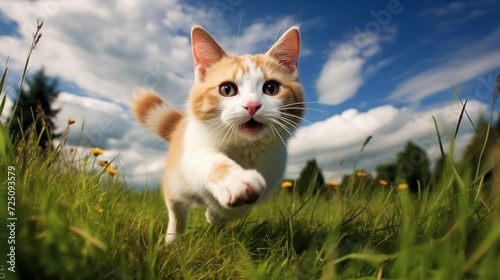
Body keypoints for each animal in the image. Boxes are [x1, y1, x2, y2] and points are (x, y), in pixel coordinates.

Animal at [133, 24, 302, 243]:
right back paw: (172, 239)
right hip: (175, 178)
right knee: (176, 209)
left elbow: (239, 209)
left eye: (271, 88)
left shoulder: (272, 172)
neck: (243, 147)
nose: (252, 105)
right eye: (227, 89)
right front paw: (236, 181)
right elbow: (210, 161)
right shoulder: (192, 154)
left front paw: (216, 215)